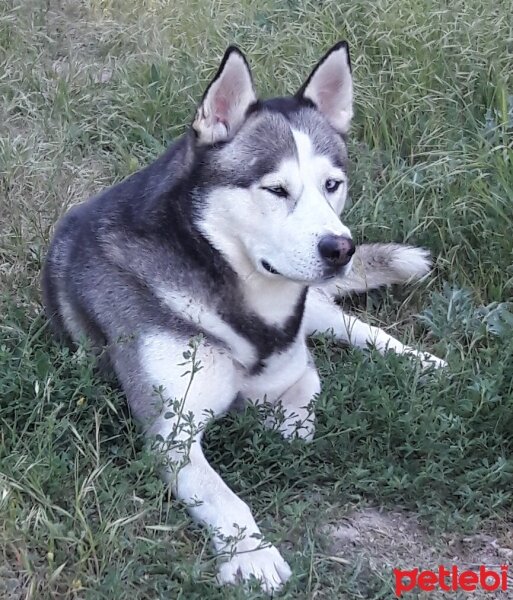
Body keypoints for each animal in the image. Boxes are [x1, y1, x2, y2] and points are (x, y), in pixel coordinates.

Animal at [41, 44, 444, 592]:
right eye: (275, 190)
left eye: (332, 185)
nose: (341, 248)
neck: (232, 292)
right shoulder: (172, 432)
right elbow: (222, 494)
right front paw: (252, 555)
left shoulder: (294, 363)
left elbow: (302, 401)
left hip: (320, 312)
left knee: (354, 325)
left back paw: (421, 361)